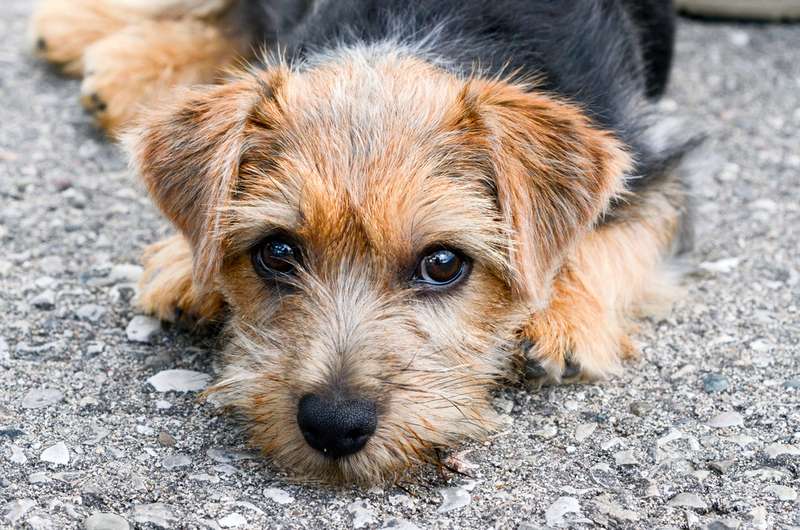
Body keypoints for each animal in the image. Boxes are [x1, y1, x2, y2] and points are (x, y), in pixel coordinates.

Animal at [31, 0, 692, 482]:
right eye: (277, 252)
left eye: (443, 263)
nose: (334, 425)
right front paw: (184, 261)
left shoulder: (656, 165)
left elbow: (617, 233)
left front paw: (566, 316)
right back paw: (90, 40)